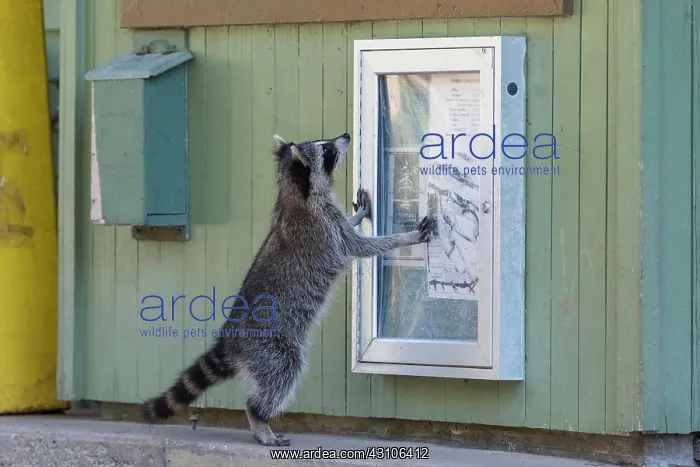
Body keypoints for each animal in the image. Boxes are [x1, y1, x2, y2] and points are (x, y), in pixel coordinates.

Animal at [140, 132, 436, 446]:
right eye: (326, 149)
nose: (345, 136)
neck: (295, 192)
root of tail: (231, 339)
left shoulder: (329, 219)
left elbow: (351, 228)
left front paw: (359, 216)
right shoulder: (327, 231)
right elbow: (362, 247)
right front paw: (405, 237)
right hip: (271, 347)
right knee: (283, 372)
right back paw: (258, 416)